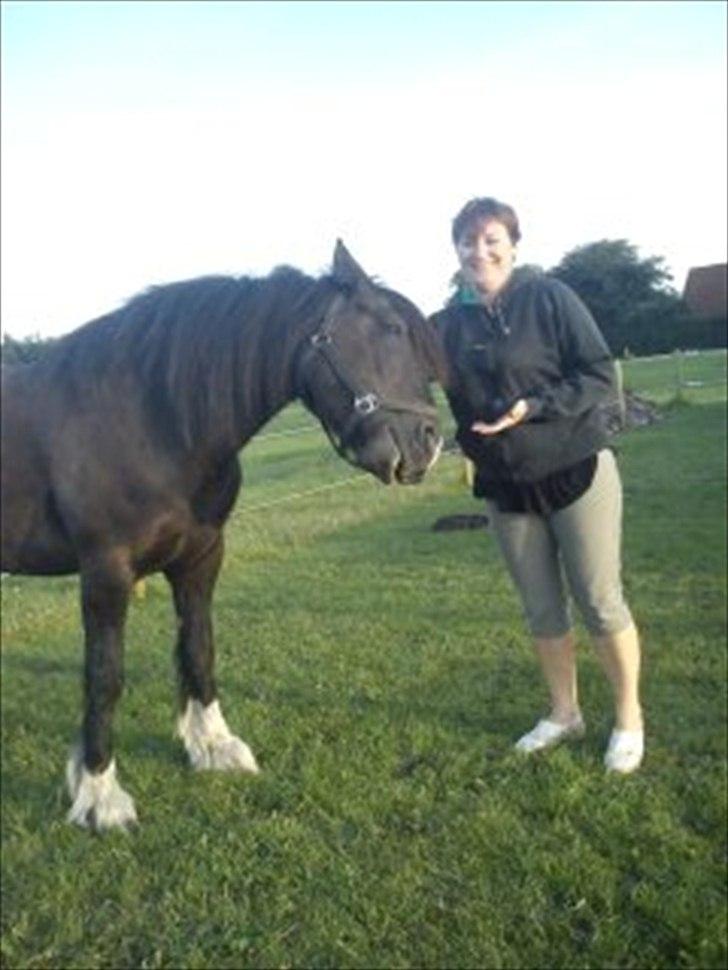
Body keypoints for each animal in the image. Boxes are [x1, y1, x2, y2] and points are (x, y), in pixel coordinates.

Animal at [1, 241, 445, 831]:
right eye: (392, 328)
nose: (427, 444)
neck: (151, 419)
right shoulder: (106, 571)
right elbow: (105, 675)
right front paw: (99, 794)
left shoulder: (201, 556)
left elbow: (199, 648)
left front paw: (212, 746)